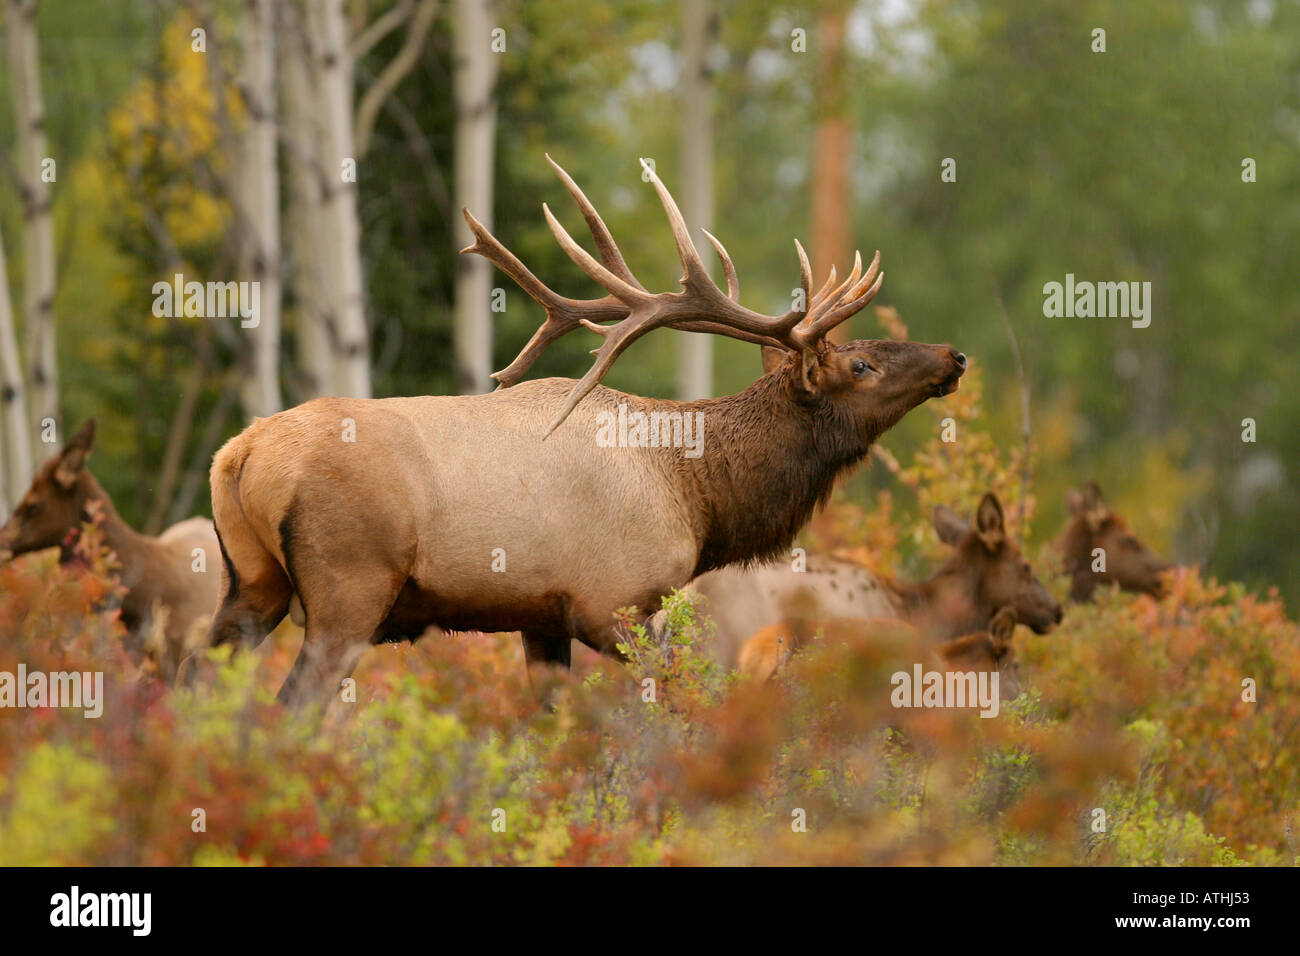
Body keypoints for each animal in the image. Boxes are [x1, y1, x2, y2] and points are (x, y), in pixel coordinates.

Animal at [206, 155, 967, 707]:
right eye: (861, 364)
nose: (953, 356)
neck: (699, 497)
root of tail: (240, 452)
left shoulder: (541, 617)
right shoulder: (615, 603)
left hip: (251, 581)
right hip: (349, 587)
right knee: (289, 704)